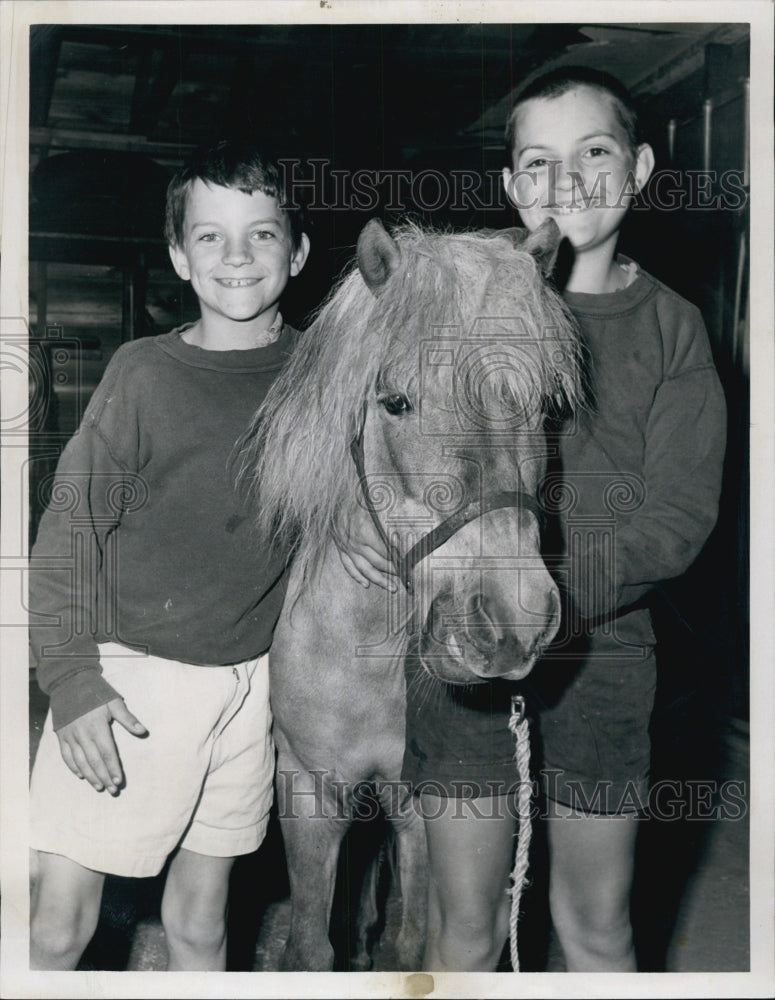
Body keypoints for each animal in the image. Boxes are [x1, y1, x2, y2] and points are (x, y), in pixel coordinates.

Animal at [242, 217, 584, 968]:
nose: (512, 624)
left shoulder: (418, 806)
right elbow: (311, 946)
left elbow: (412, 943)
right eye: (395, 402)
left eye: (546, 406)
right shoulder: (307, 793)